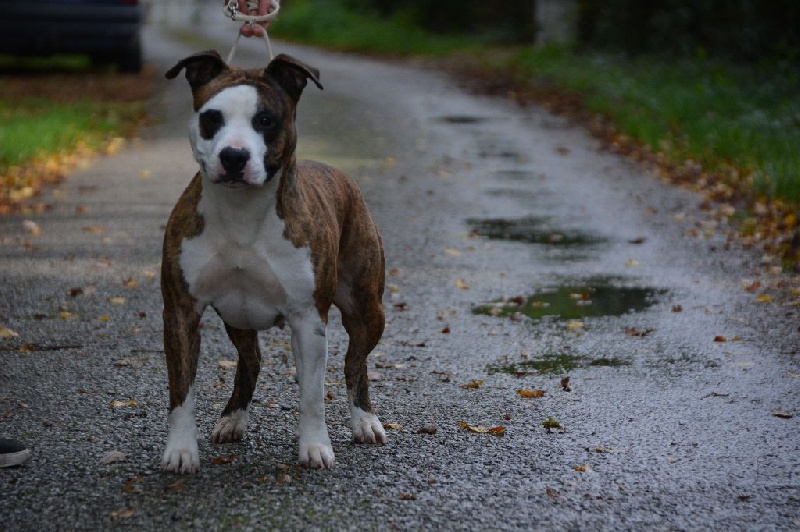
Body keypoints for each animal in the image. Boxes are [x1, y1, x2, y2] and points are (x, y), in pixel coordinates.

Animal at [161, 51, 386, 474]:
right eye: (212, 117)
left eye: (266, 120)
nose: (234, 156)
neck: (241, 212)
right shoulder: (180, 312)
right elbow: (181, 390)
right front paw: (181, 450)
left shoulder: (308, 319)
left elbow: (312, 395)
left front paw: (315, 447)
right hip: (238, 317)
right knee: (251, 360)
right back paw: (233, 418)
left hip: (367, 307)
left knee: (355, 361)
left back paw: (365, 421)